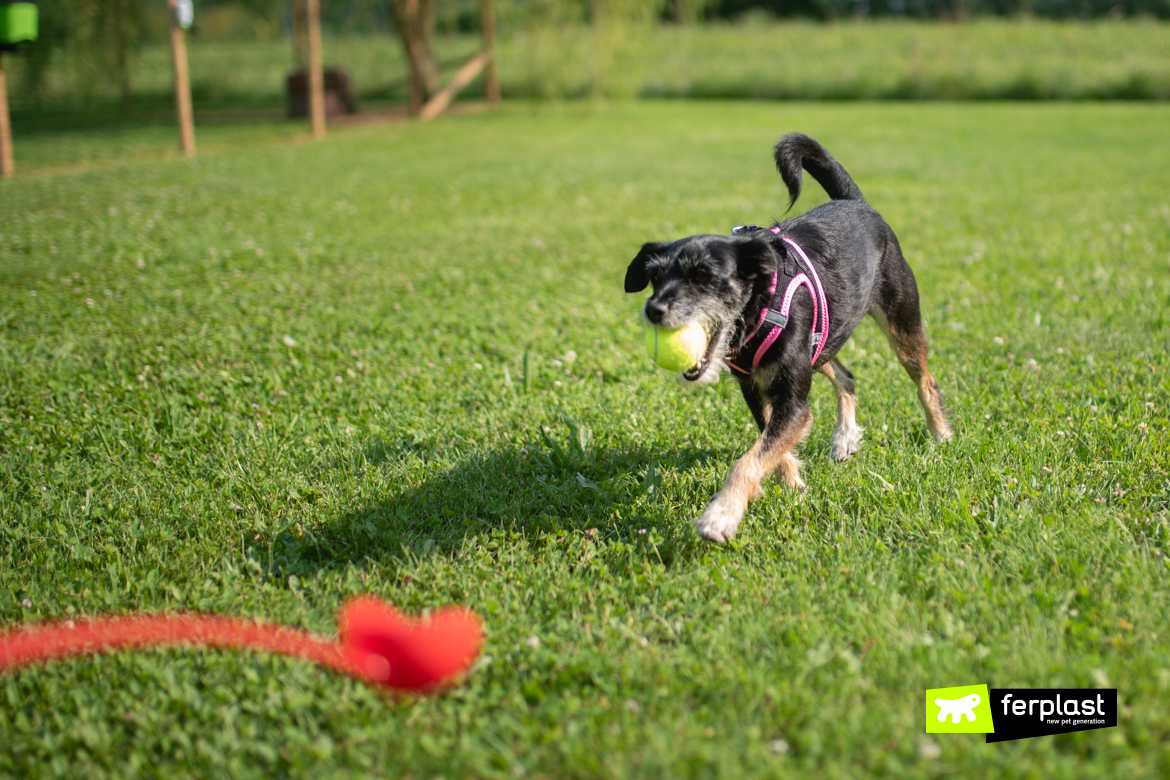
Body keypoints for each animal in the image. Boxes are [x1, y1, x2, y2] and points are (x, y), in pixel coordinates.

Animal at [622, 132, 950, 542]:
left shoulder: (793, 402)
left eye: (703, 276)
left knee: (925, 381)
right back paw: (845, 437)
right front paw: (793, 486)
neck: (760, 307)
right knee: (847, 377)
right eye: (654, 277)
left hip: (900, 323)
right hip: (823, 341)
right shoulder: (757, 390)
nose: (653, 310)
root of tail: (855, 202)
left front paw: (722, 514)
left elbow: (749, 460)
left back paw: (940, 434)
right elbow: (770, 449)